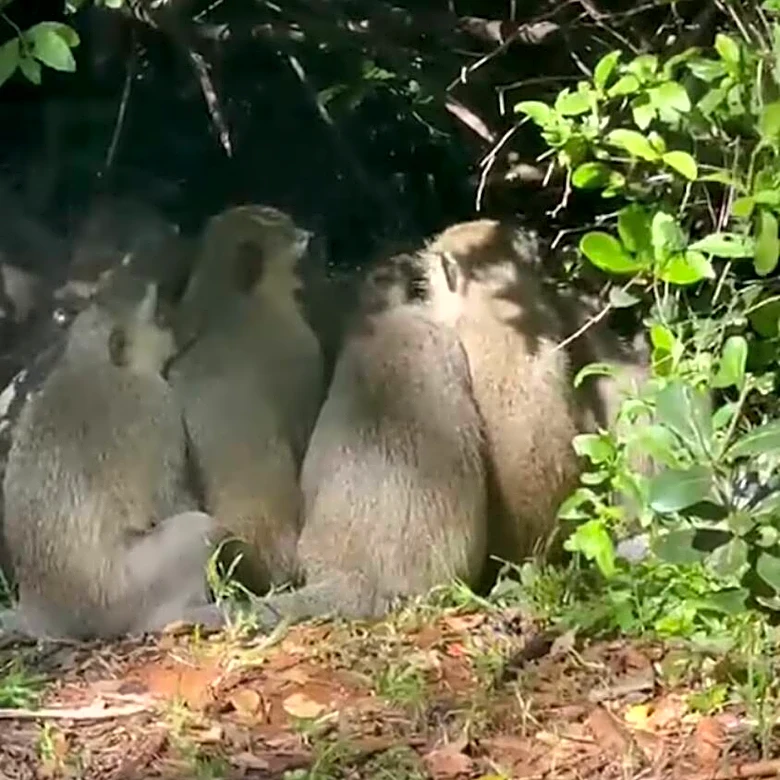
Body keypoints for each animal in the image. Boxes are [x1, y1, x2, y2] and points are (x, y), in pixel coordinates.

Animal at [1, 271, 224, 640]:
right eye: (159, 318)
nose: (179, 329)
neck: (96, 364)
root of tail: (47, 617)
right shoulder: (157, 408)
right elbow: (167, 500)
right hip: (129, 589)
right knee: (197, 527)